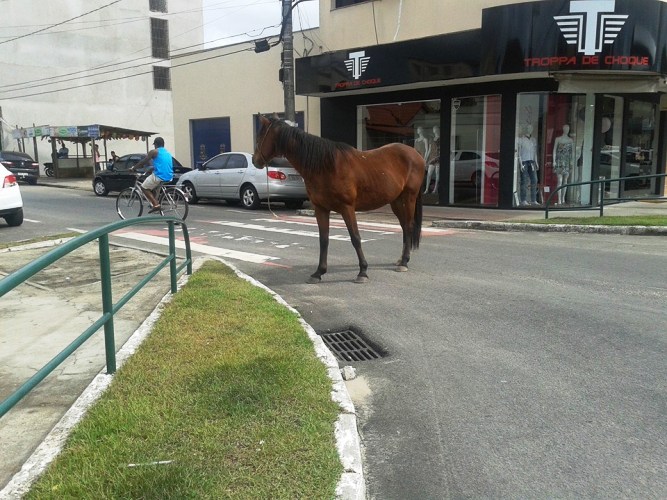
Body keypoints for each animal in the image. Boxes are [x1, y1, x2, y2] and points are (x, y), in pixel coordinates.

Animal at [252, 115, 425, 284]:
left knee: (408, 226)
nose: (255, 161)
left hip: (409, 198)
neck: (326, 166)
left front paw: (363, 271)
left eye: (260, 136)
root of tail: (416, 154)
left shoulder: (347, 208)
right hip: (396, 201)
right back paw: (401, 259)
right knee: (404, 227)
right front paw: (319, 272)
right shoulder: (321, 209)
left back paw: (404, 262)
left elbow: (355, 238)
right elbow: (324, 239)